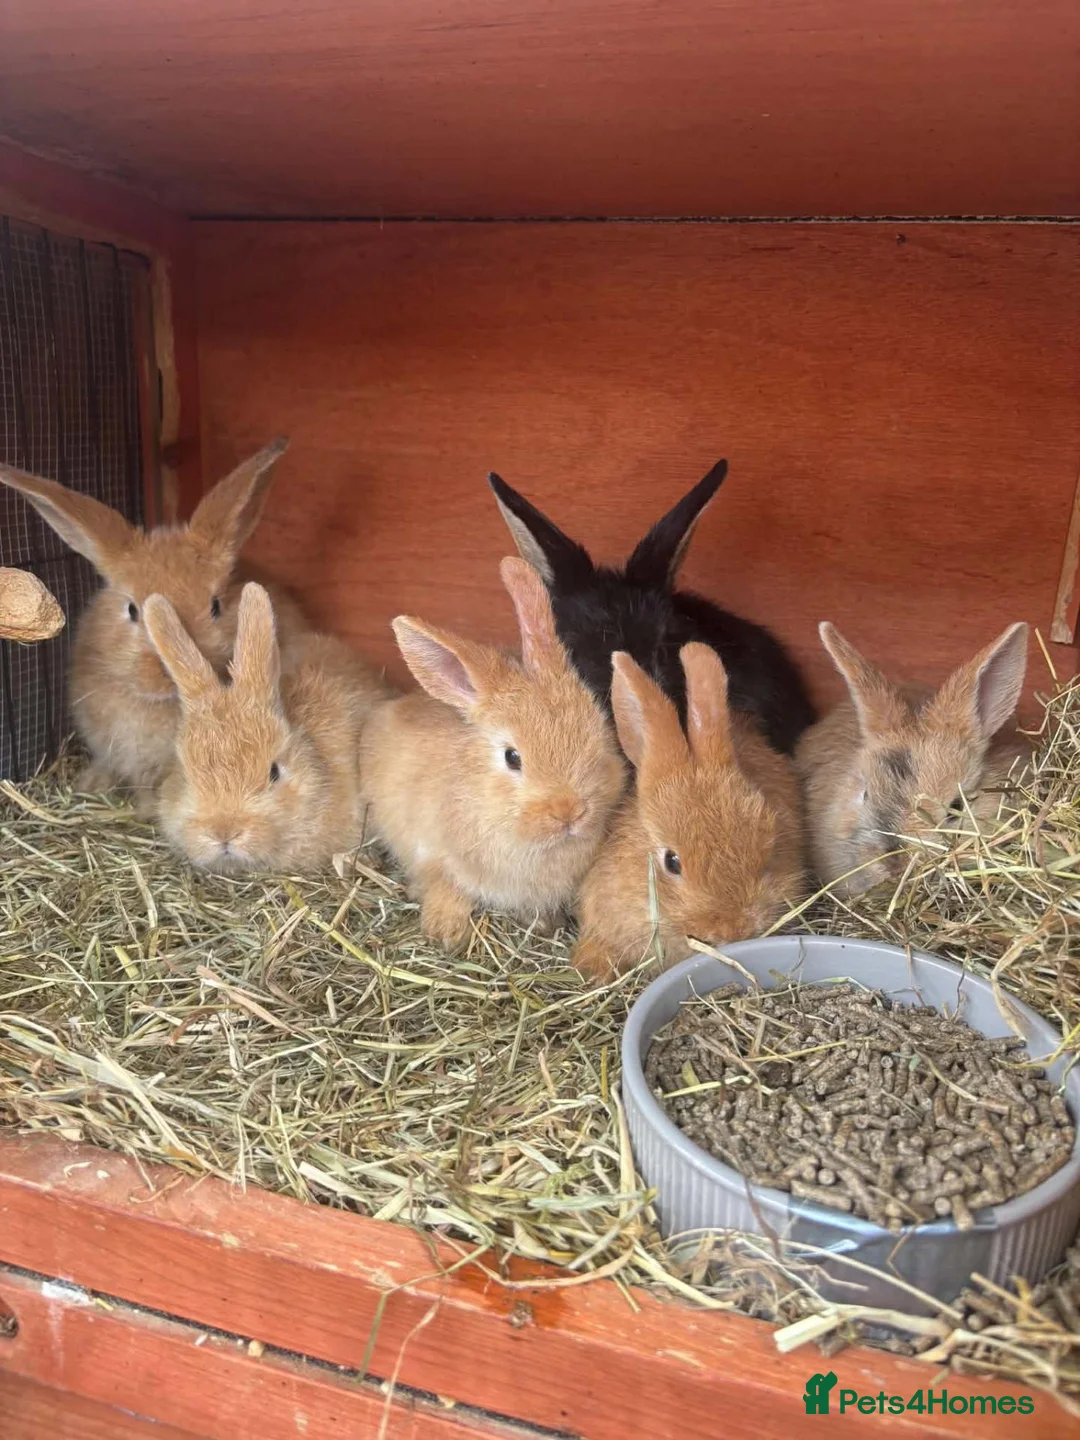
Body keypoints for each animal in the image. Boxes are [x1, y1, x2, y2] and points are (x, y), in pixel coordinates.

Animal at [360, 556, 627, 948]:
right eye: (512, 757)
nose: (570, 812)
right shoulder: (433, 855)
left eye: (600, 726)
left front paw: (546, 925)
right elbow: (447, 886)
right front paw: (444, 932)